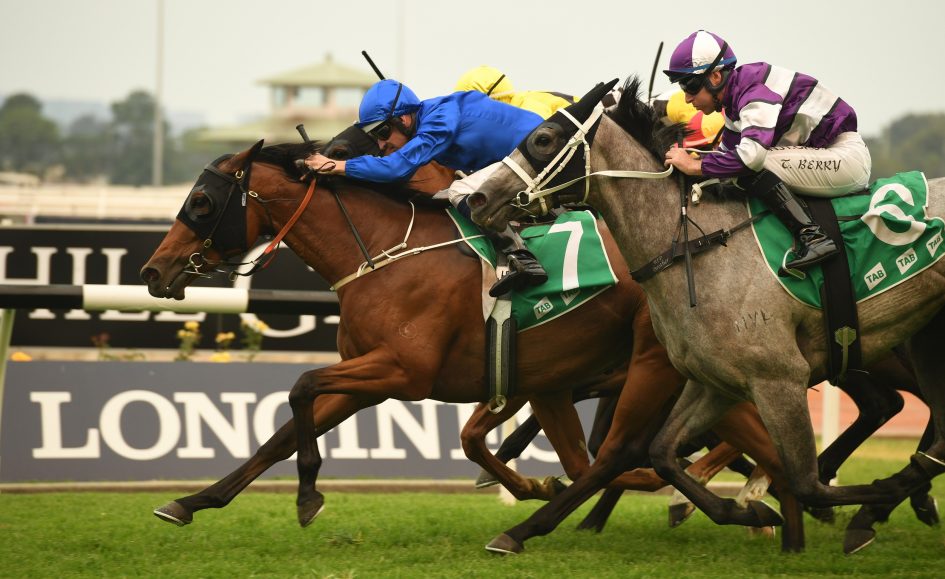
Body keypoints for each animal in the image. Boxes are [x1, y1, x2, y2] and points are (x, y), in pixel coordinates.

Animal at [140, 138, 797, 538]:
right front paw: (192, 502)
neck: (381, 253)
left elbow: (301, 386)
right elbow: (278, 435)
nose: (152, 270)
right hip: (595, 384)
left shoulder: (403, 371)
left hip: (661, 371)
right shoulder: (369, 377)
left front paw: (306, 497)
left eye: (201, 201)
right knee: (627, 456)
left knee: (641, 453)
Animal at [468, 76, 945, 552]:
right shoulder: (715, 381)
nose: (477, 198)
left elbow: (807, 483)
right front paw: (745, 510)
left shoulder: (778, 378)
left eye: (543, 138)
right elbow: (662, 453)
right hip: (924, 343)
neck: (699, 246)